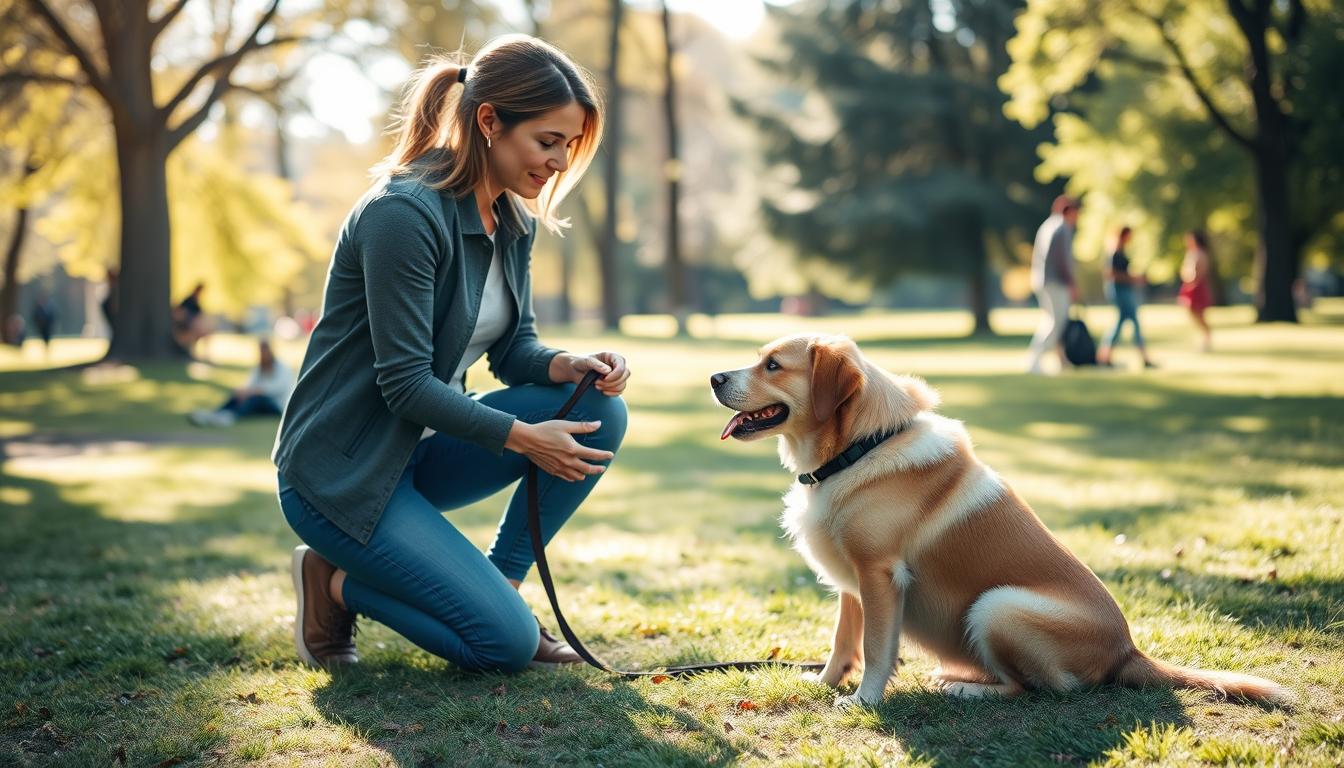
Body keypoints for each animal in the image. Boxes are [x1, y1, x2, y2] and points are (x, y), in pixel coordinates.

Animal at [715, 333, 1290, 704]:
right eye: (759, 359)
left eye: (773, 365)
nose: (715, 376)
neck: (859, 448)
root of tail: (1130, 651)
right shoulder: (852, 584)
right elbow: (843, 642)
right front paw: (826, 684)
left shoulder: (879, 575)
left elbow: (877, 649)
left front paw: (863, 701)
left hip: (996, 606)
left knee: (1039, 689)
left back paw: (964, 688)